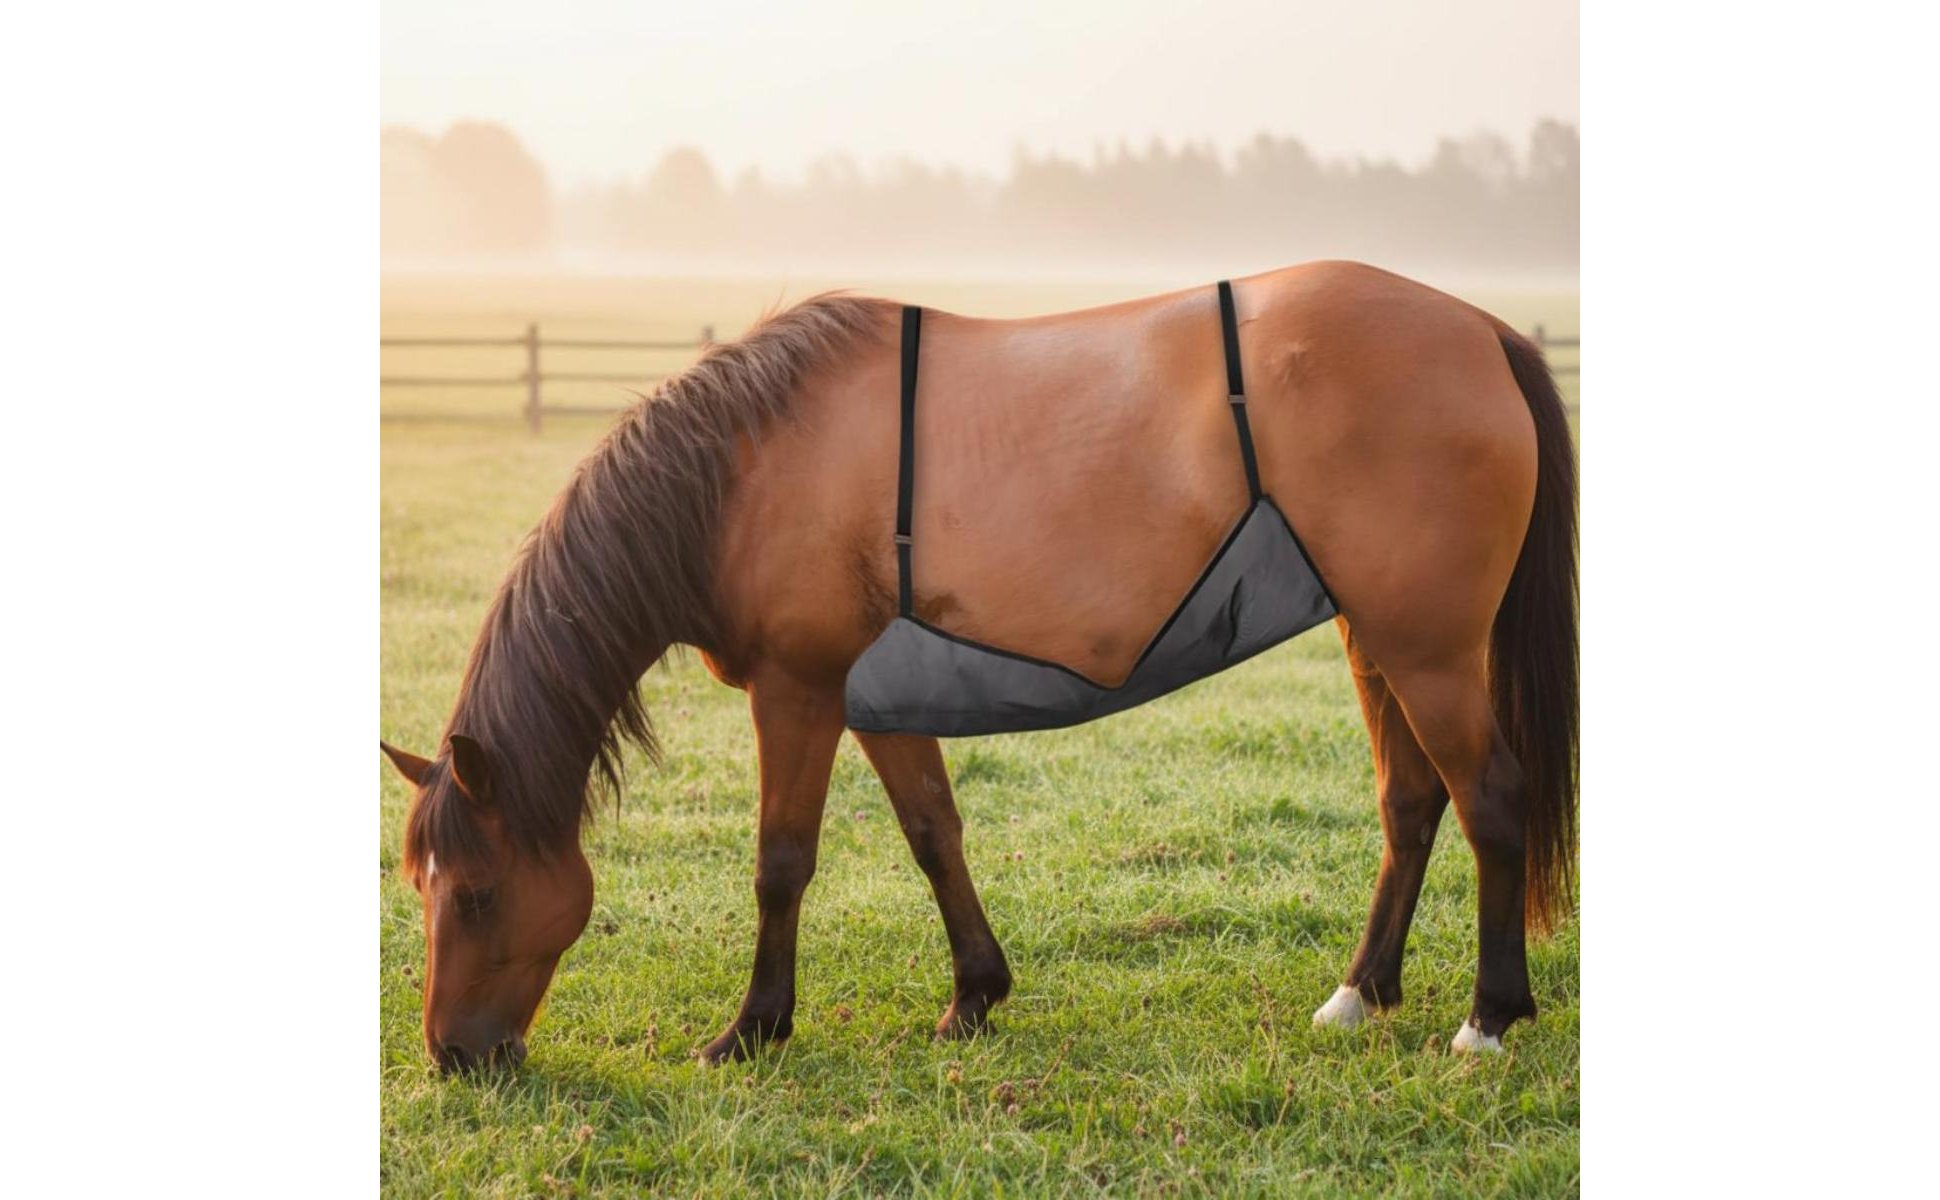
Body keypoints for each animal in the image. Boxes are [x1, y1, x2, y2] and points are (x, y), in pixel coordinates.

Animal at [381, 260, 1577, 1072]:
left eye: (475, 893)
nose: (454, 1057)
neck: (743, 472)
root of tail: (1481, 329)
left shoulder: (798, 690)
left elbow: (781, 862)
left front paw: (754, 1028)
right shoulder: (877, 700)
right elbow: (932, 836)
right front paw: (974, 995)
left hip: (1427, 649)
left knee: (1491, 798)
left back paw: (1487, 1015)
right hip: (1377, 638)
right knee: (1412, 804)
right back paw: (1359, 993)